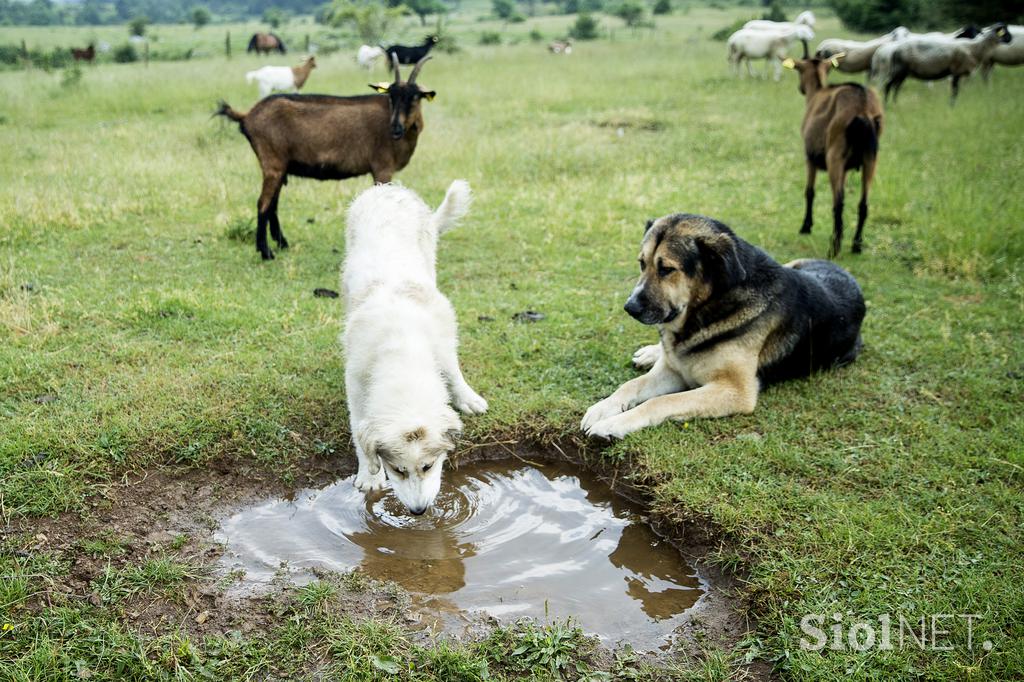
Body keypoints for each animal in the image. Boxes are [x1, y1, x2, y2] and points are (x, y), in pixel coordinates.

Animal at [216, 53, 436, 259]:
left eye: (415, 97)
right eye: (391, 96)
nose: (395, 129)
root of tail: (247, 116)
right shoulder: (382, 168)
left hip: (279, 166)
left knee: (272, 205)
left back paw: (282, 244)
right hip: (272, 163)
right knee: (263, 203)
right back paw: (266, 253)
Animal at [339, 178, 487, 512]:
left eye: (428, 466)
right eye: (398, 470)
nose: (418, 512)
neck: (401, 345)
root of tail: (387, 188)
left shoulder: (443, 335)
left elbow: (452, 369)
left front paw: (467, 397)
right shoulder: (355, 379)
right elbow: (357, 423)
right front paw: (369, 474)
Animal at [585, 209, 864, 440]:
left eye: (666, 269)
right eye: (642, 264)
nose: (629, 308)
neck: (709, 305)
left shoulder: (735, 391)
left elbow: (660, 402)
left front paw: (613, 424)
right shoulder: (674, 371)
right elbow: (630, 385)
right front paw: (601, 409)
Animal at [786, 45, 884, 258]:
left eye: (798, 70)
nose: (800, 88)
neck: (817, 93)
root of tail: (863, 109)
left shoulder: (809, 156)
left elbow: (810, 191)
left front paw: (805, 226)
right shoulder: (847, 169)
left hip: (834, 156)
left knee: (838, 202)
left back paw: (834, 247)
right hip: (871, 158)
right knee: (863, 203)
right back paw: (856, 245)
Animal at [880, 23, 1015, 102]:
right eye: (1004, 31)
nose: (1010, 39)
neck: (974, 47)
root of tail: (895, 50)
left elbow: (956, 91)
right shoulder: (956, 71)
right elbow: (954, 92)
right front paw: (952, 107)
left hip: (903, 73)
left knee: (896, 87)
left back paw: (895, 103)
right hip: (899, 70)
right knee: (888, 86)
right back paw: (887, 105)